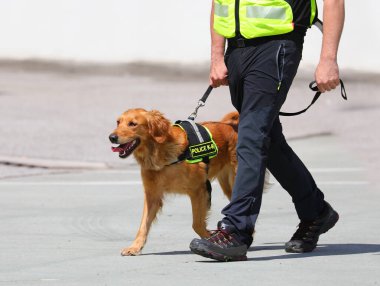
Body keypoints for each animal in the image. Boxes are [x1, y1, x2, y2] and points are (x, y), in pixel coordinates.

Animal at [108, 108, 242, 256]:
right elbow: (143, 225)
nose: (111, 137)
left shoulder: (199, 190)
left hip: (235, 180)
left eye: (132, 124)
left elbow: (197, 224)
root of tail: (232, 125)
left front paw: (210, 239)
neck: (161, 154)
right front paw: (135, 247)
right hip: (227, 186)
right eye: (118, 122)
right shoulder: (152, 195)